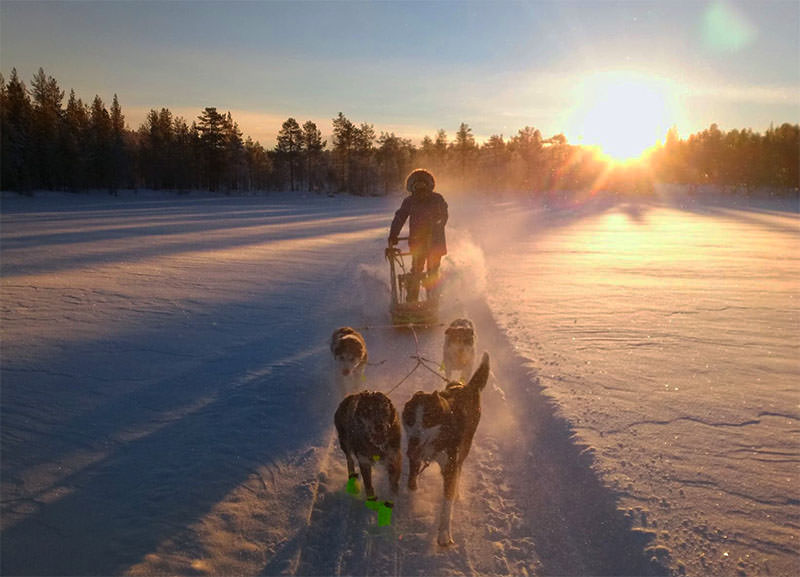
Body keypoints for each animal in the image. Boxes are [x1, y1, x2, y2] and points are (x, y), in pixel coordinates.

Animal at [404, 352, 490, 544]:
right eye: (410, 419)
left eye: (427, 420)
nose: (413, 441)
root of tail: (467, 386)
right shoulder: (416, 456)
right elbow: (411, 480)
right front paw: (411, 494)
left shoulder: (449, 466)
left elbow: (447, 504)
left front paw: (443, 533)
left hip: (465, 446)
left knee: (460, 466)